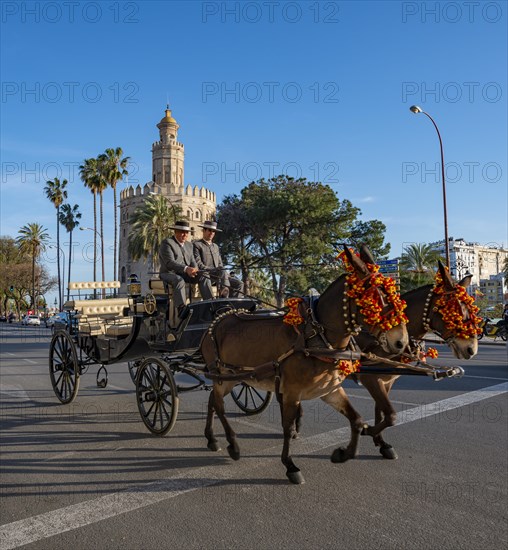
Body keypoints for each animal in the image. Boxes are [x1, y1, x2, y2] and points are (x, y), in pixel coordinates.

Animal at [199, 248, 408, 486]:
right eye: (376, 296)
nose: (401, 342)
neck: (316, 336)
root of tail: (215, 322)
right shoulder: (292, 392)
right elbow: (288, 428)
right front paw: (290, 466)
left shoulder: (329, 390)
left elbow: (356, 420)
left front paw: (342, 454)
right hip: (221, 374)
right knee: (219, 405)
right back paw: (233, 445)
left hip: (233, 378)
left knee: (212, 401)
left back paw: (212, 439)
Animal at [354, 256, 480, 460]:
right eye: (454, 310)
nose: (471, 349)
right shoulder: (369, 377)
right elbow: (391, 415)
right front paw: (368, 431)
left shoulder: (387, 380)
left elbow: (382, 412)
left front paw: (381, 442)